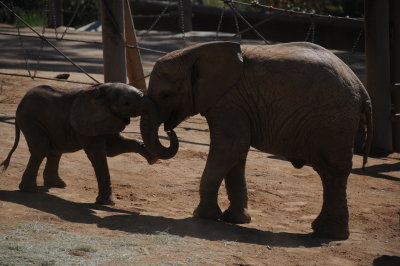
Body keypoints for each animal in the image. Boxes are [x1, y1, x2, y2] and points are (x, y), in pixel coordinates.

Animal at [0, 83, 177, 206]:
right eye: (126, 103)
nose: (169, 130)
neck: (101, 90)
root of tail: (20, 102)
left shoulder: (106, 119)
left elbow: (114, 147)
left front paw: (151, 157)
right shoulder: (88, 122)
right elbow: (98, 155)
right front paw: (107, 203)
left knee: (54, 151)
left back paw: (57, 185)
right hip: (29, 119)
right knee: (41, 149)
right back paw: (31, 190)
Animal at [140, 41, 372, 239]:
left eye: (165, 95)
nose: (169, 130)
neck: (195, 51)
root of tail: (362, 90)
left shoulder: (229, 101)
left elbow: (230, 148)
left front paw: (203, 216)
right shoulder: (236, 104)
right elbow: (237, 154)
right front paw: (235, 220)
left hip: (334, 121)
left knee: (332, 171)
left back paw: (328, 235)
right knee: (329, 174)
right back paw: (323, 231)